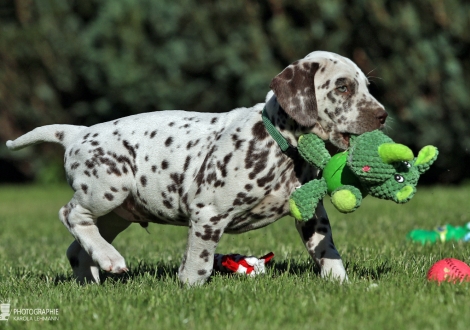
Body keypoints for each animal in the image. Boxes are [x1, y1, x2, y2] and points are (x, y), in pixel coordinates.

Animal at [7, 50, 388, 284]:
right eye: (343, 87)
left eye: (367, 86)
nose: (383, 115)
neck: (280, 147)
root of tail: (77, 133)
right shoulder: (208, 215)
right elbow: (200, 260)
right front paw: (189, 288)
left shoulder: (311, 216)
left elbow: (327, 250)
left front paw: (341, 284)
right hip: (106, 189)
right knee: (70, 214)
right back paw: (110, 258)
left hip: (118, 213)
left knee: (76, 247)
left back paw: (92, 277)